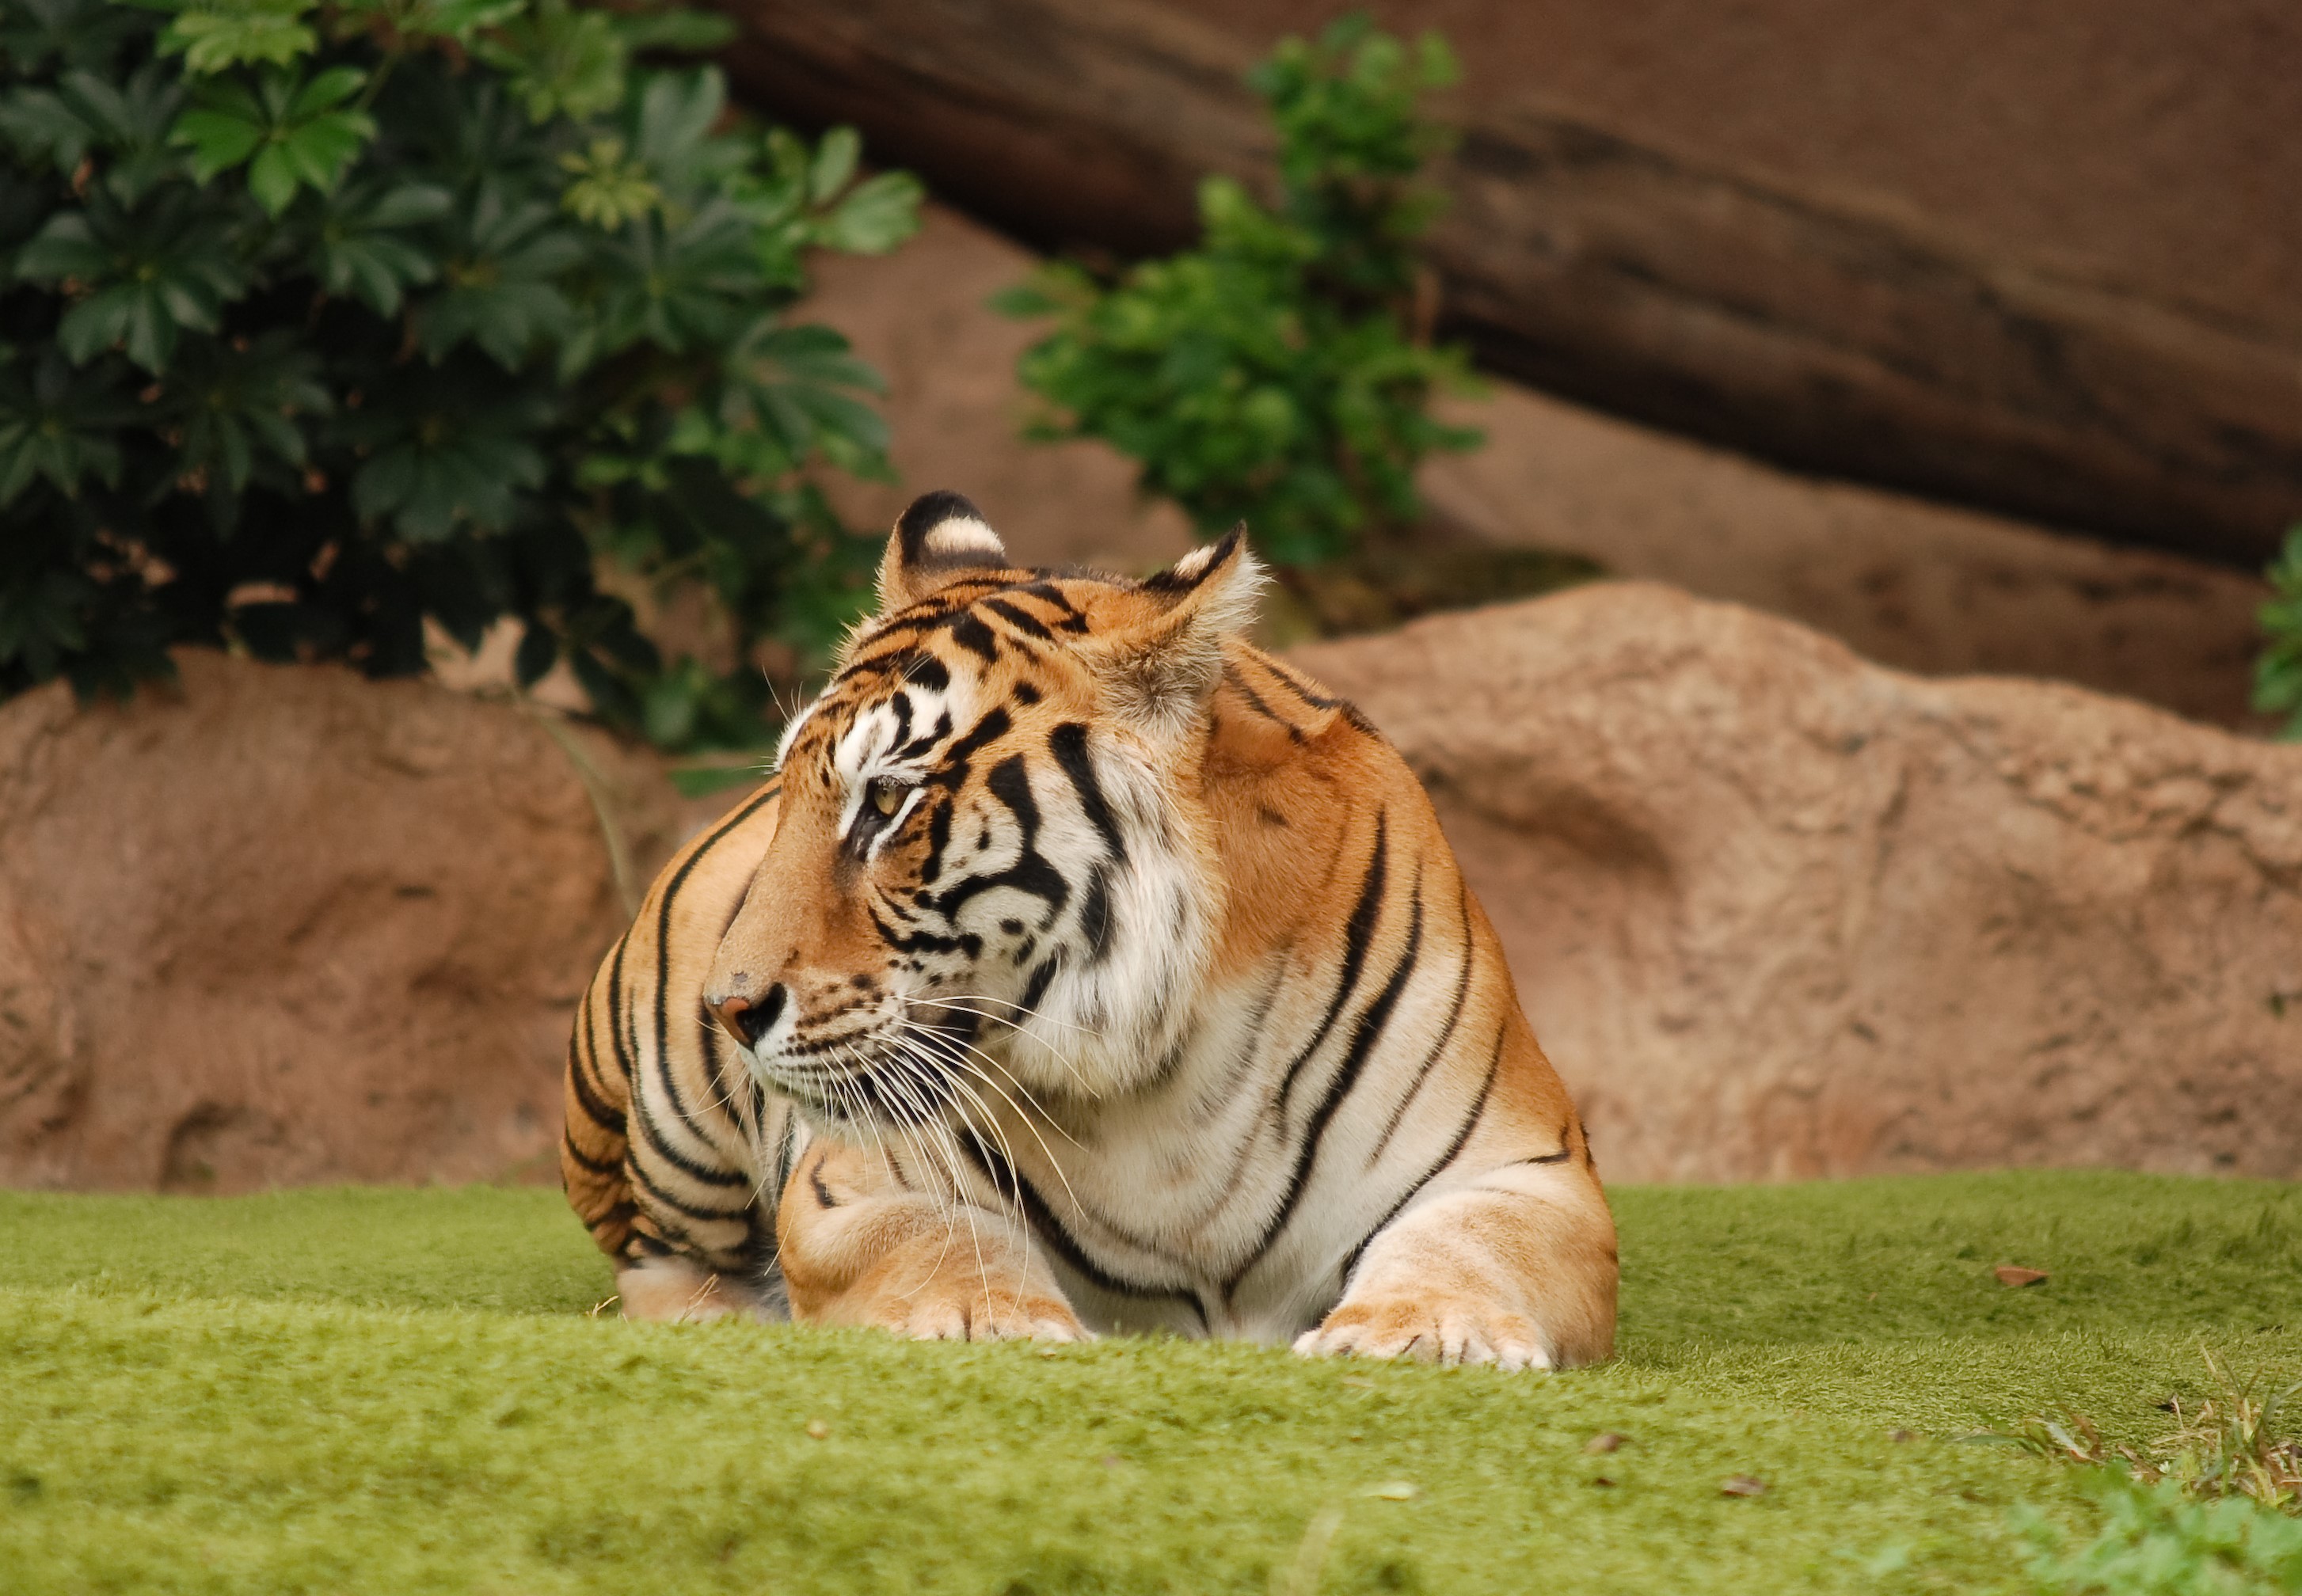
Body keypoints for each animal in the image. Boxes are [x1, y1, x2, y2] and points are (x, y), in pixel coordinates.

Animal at [562, 491, 1618, 1367]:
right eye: (790, 795)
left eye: (888, 803)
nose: (729, 1008)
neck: (1166, 1079)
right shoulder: (854, 1179)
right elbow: (933, 1238)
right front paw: (990, 1321)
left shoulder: (1531, 1172)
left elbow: (1471, 1242)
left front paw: (1423, 1333)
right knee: (656, 1264)